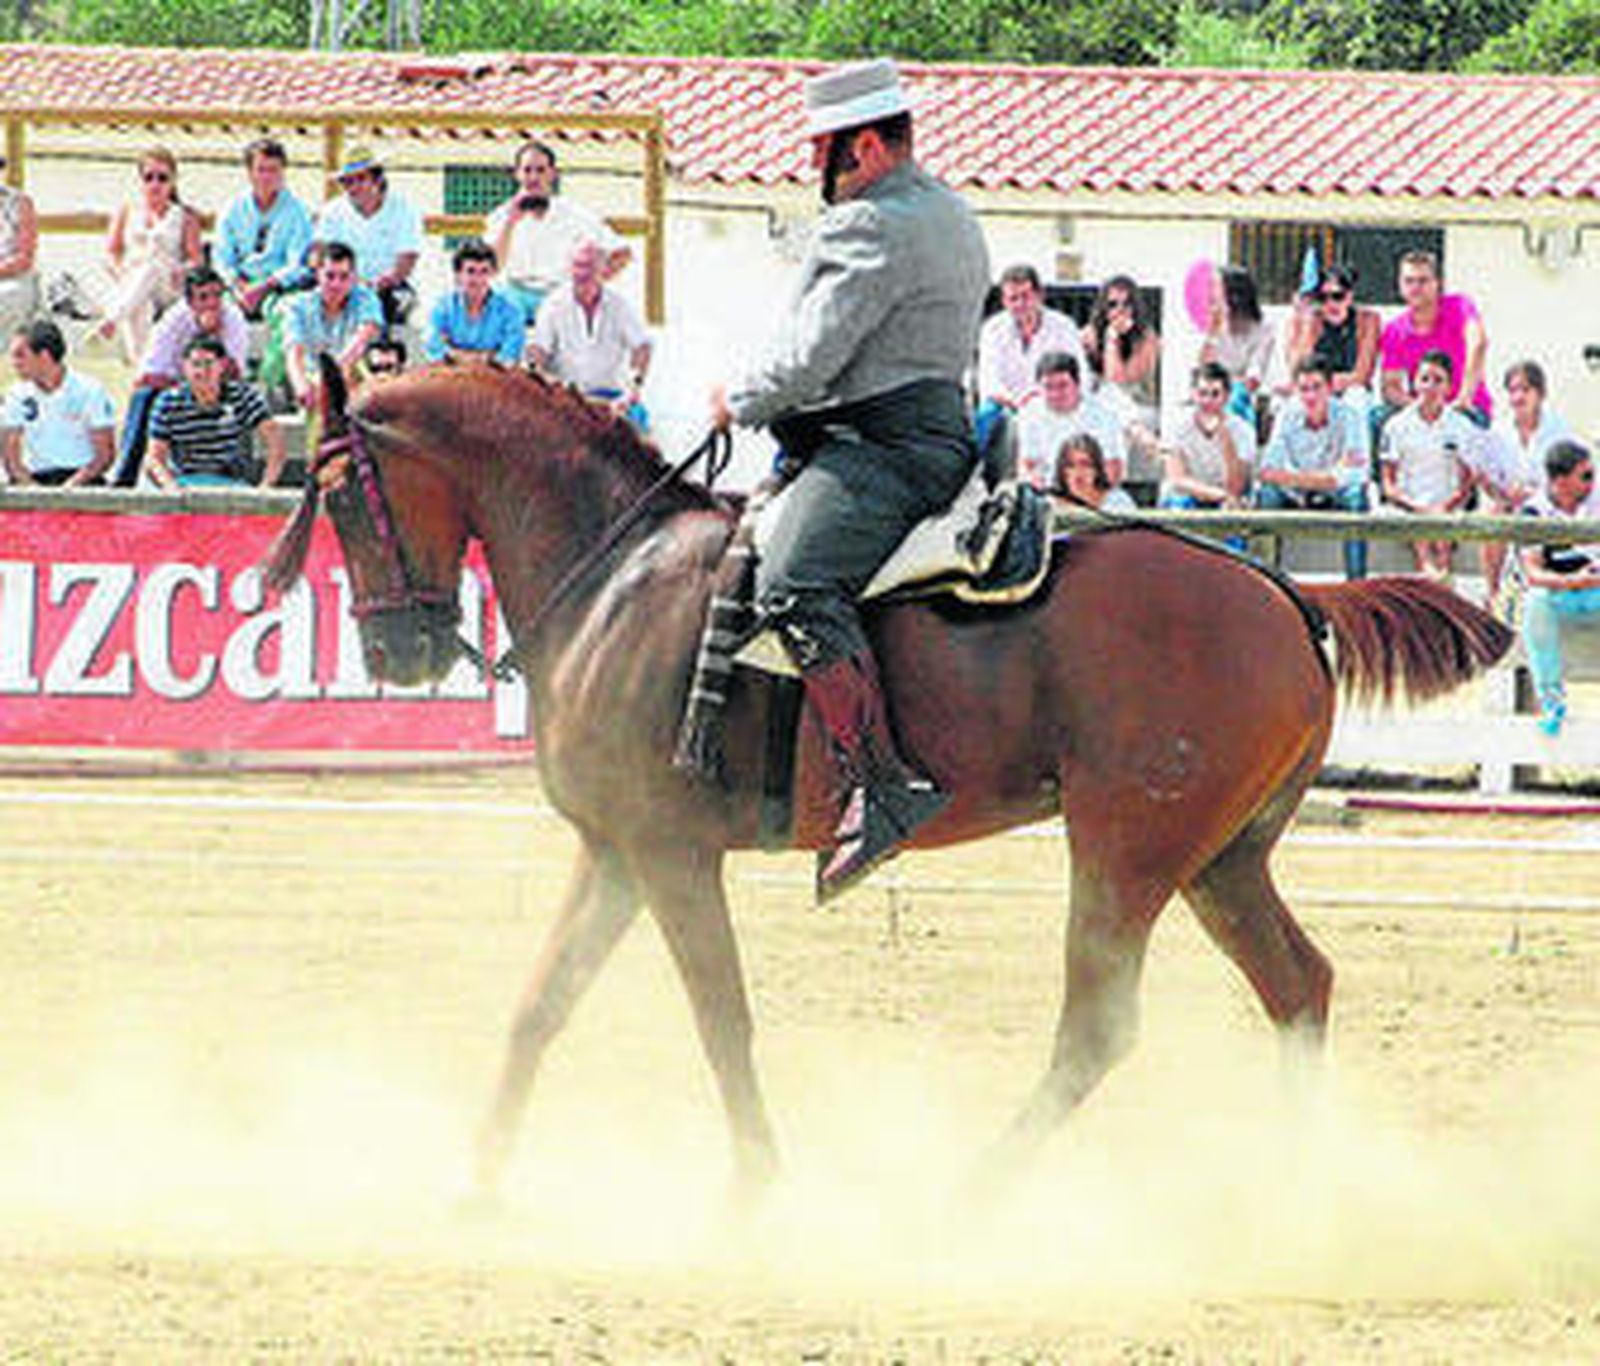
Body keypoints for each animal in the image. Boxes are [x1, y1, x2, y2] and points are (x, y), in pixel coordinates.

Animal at [264, 360, 1512, 1205]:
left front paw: (758, 1186)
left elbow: (720, 1019)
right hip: (1218, 861)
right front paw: (475, 1180)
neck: (619, 575)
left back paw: (969, 1194)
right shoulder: (614, 852)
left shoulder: (670, 856)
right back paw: (1293, 1191)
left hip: (1125, 853)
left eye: (339, 494)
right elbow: (538, 1008)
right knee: (1296, 985)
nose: (396, 652)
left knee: (1097, 1027)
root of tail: (1282, 598)